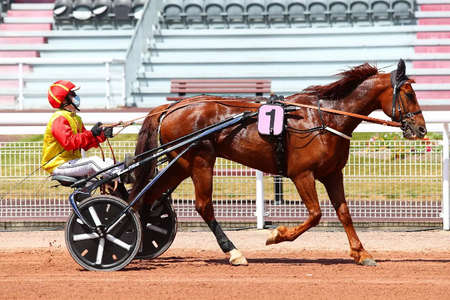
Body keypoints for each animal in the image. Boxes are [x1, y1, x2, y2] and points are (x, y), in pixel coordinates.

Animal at [129, 59, 426, 266]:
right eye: (409, 93)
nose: (421, 129)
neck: (324, 118)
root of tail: (169, 107)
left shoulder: (332, 174)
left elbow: (344, 213)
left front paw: (361, 252)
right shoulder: (302, 174)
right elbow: (315, 215)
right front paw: (276, 236)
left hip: (181, 165)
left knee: (147, 196)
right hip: (201, 161)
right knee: (203, 206)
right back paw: (234, 252)